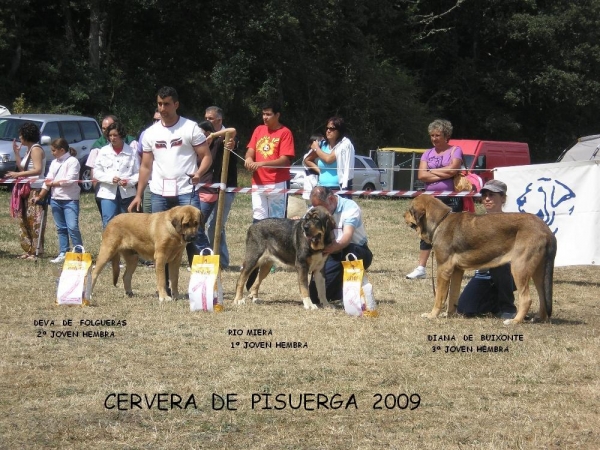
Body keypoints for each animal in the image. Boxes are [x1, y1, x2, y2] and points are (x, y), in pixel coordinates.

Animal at [406, 195, 556, 326]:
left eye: (410, 210)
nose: (403, 215)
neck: (440, 221)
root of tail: (546, 229)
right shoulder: (457, 271)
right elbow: (453, 295)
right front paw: (449, 314)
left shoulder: (443, 268)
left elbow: (440, 296)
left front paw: (432, 315)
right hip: (538, 272)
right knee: (543, 296)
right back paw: (539, 318)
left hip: (519, 267)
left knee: (526, 299)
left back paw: (515, 321)